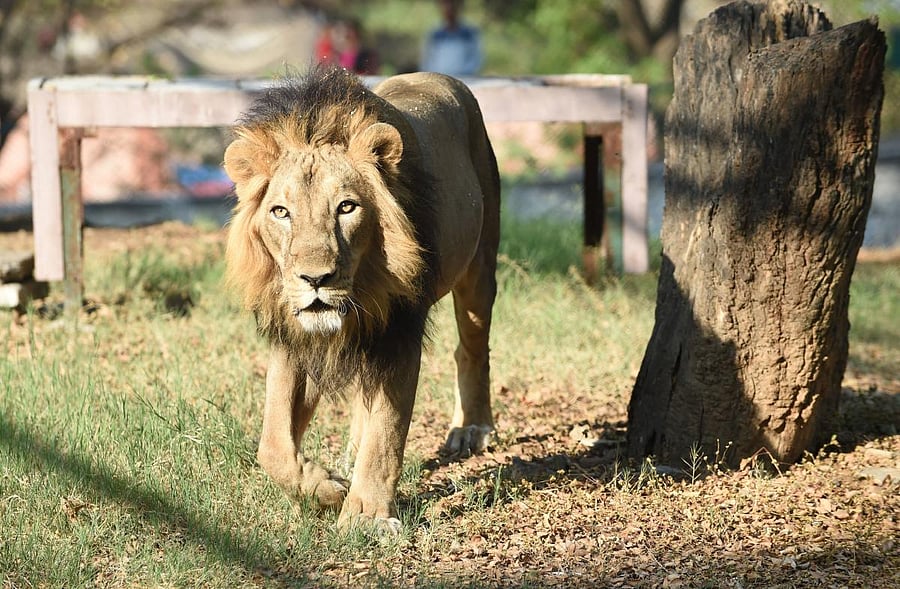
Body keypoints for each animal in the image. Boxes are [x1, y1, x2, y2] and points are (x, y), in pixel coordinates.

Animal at [223, 66, 499, 532]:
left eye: (347, 208)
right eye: (281, 212)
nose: (315, 279)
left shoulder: (399, 334)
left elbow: (386, 434)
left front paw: (367, 517)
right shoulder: (294, 337)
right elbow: (272, 445)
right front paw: (327, 487)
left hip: (479, 269)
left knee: (472, 348)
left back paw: (473, 428)